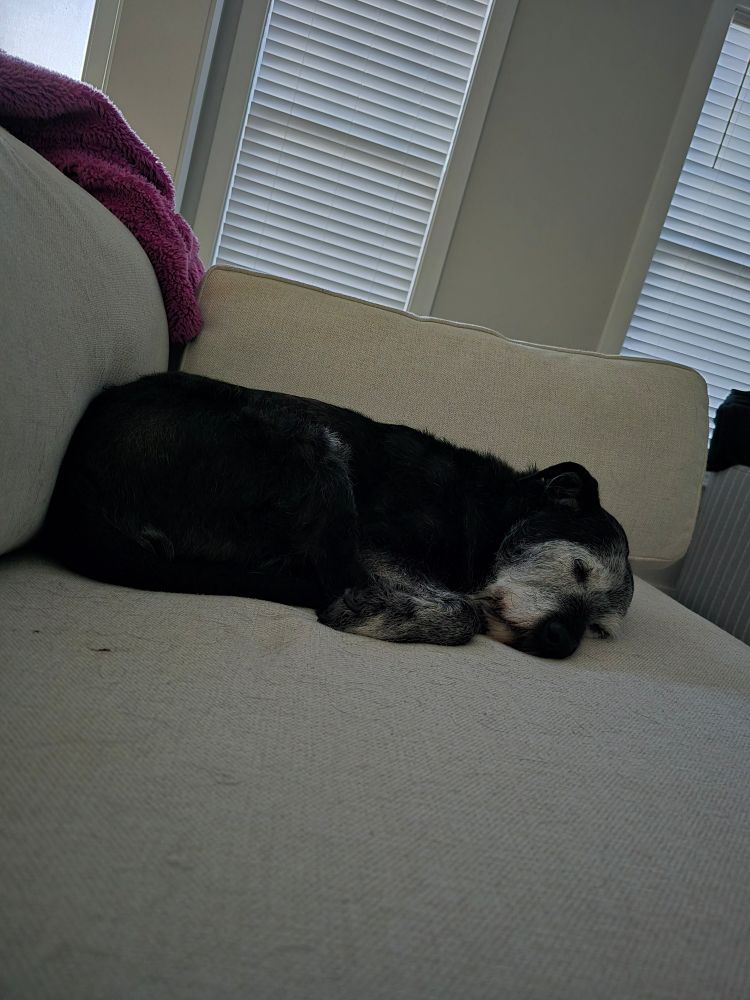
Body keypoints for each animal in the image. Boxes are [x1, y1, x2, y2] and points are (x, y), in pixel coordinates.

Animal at [42, 371, 634, 658]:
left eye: (601, 630)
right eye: (578, 569)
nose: (562, 642)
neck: (484, 516)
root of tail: (74, 484)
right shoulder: (375, 542)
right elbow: (461, 609)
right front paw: (372, 613)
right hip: (309, 441)